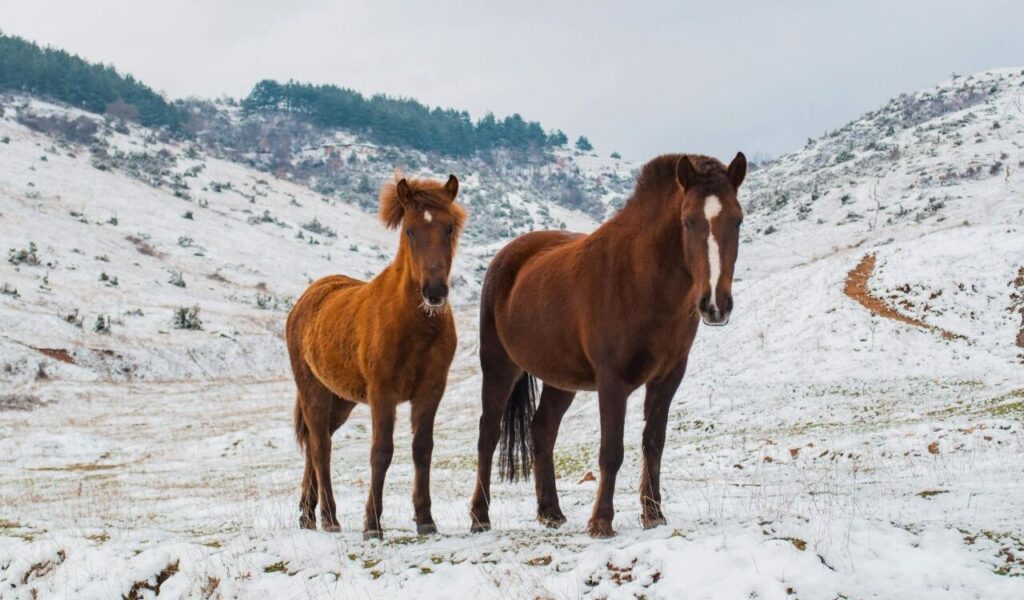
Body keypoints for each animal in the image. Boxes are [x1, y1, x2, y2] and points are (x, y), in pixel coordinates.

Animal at [286, 173, 466, 540]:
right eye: (410, 231)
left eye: (449, 228)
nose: (434, 292)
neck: (414, 326)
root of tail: (305, 300)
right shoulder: (383, 393)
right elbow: (381, 452)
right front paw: (372, 525)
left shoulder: (431, 391)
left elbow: (422, 449)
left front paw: (425, 520)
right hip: (314, 392)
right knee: (321, 448)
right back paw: (329, 518)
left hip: (341, 400)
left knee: (314, 443)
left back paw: (307, 515)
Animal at [469, 152, 746, 537]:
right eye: (688, 222)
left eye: (738, 220)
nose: (715, 305)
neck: (642, 279)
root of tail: (506, 257)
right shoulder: (612, 381)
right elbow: (611, 450)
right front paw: (601, 521)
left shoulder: (668, 377)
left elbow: (653, 443)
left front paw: (653, 514)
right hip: (498, 366)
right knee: (488, 434)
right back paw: (480, 516)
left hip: (560, 379)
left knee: (542, 430)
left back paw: (550, 512)